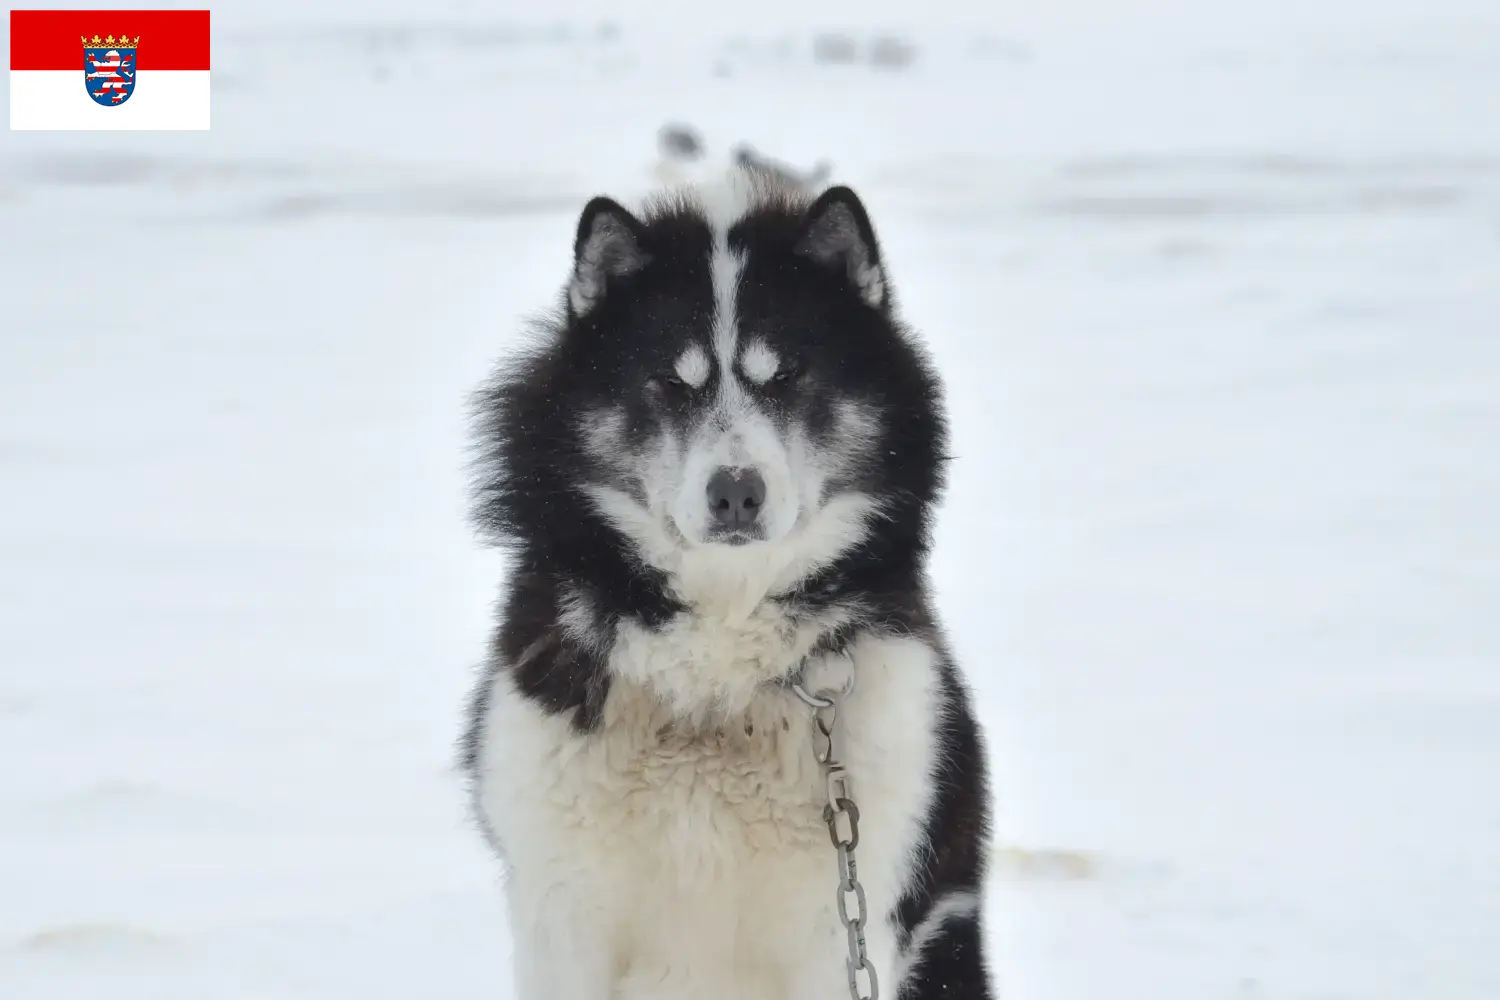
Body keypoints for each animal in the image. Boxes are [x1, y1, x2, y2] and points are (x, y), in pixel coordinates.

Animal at [462, 166, 990, 1000]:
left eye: (789, 378)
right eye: (670, 385)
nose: (735, 493)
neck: (716, 681)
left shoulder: (845, 917)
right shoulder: (560, 916)